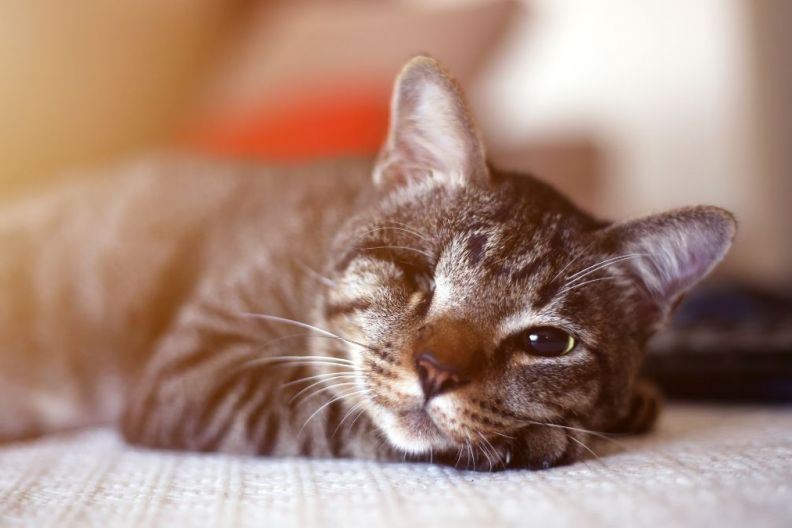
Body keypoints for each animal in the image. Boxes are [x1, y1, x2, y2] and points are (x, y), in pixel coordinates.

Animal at [0, 57, 736, 470]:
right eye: (418, 278)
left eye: (546, 343)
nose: (436, 371)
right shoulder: (193, 371)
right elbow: (318, 411)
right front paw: (541, 441)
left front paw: (628, 403)